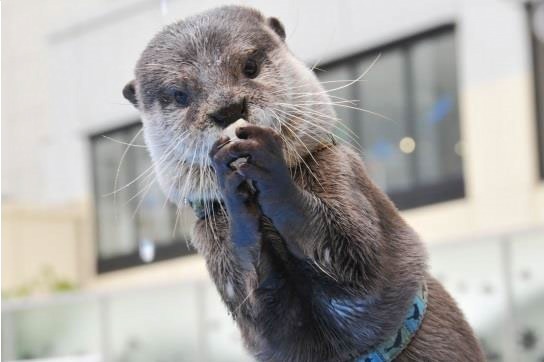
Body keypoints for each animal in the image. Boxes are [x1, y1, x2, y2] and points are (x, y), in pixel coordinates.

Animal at [123, 6, 484, 362]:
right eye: (180, 95)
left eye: (249, 66)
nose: (228, 108)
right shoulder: (210, 238)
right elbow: (261, 309)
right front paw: (234, 194)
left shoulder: (341, 171)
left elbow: (356, 253)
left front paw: (268, 165)